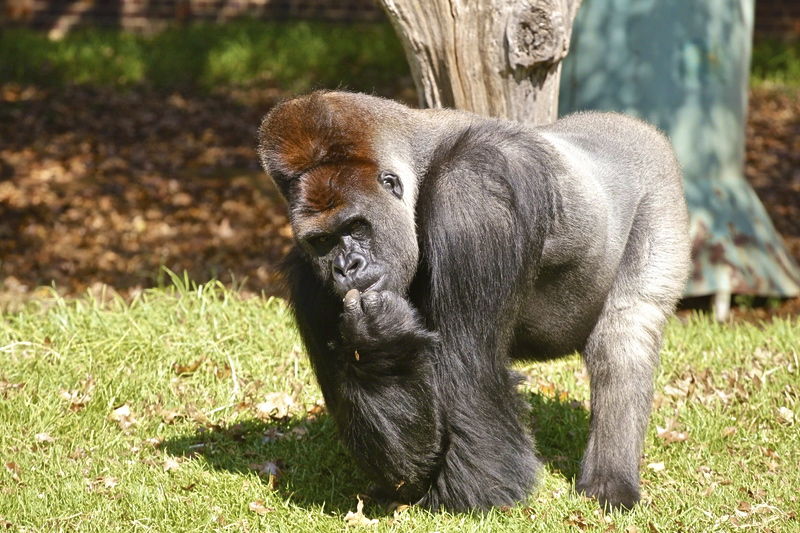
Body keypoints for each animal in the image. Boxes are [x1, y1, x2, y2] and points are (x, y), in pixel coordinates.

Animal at [256, 91, 688, 512]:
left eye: (356, 227)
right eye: (323, 241)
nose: (347, 267)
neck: (421, 161)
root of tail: (630, 124)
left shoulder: (473, 193)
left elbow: (469, 369)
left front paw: (479, 492)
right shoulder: (308, 279)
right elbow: (406, 466)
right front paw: (381, 352)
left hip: (659, 188)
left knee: (625, 333)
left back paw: (610, 481)